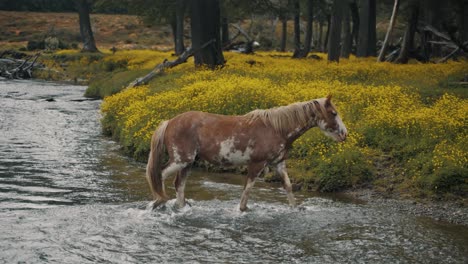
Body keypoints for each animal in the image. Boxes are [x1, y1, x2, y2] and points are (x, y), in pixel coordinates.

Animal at [146, 94, 348, 210]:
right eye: (334, 113)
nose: (344, 134)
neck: (276, 128)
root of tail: (169, 122)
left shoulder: (278, 164)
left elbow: (288, 186)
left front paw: (295, 209)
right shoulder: (257, 164)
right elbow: (248, 189)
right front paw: (242, 210)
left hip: (188, 163)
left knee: (179, 184)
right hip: (180, 160)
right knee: (159, 175)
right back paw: (159, 202)